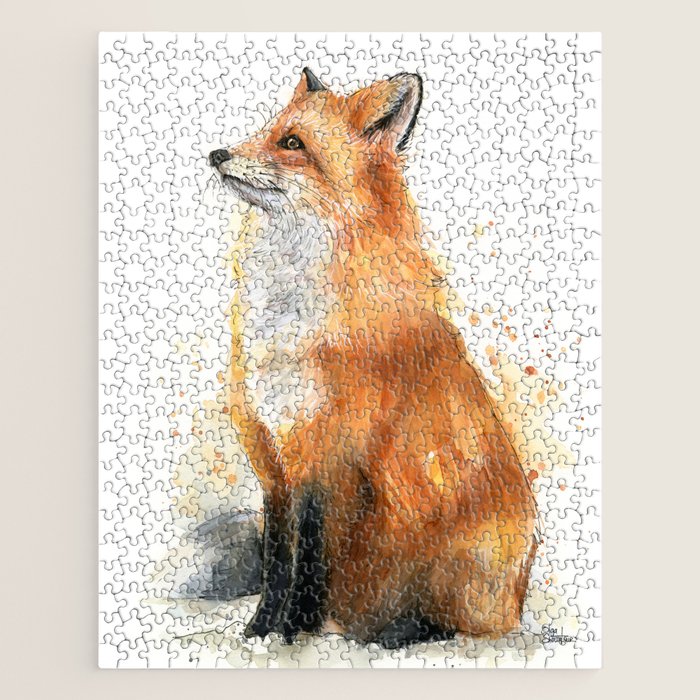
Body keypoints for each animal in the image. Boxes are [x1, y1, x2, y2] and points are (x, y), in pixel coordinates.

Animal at [208, 68, 537, 647]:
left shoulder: (328, 455)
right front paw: (260, 631)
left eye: (291, 144)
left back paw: (396, 633)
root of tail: (515, 603)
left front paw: (295, 634)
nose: (217, 154)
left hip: (465, 560)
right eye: (267, 131)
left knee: (459, 627)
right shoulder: (273, 458)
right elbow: (277, 561)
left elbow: (309, 558)